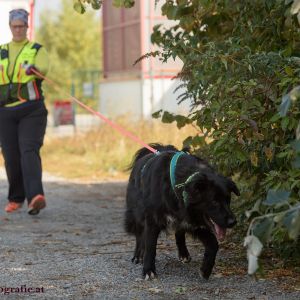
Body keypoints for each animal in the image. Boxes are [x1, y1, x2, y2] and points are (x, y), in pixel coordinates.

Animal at [123, 144, 239, 280]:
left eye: (228, 200)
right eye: (214, 201)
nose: (233, 222)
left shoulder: (192, 220)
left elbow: (213, 244)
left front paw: (206, 269)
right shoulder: (153, 220)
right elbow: (150, 246)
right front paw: (148, 270)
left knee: (179, 233)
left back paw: (184, 253)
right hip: (136, 214)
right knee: (139, 234)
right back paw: (138, 255)